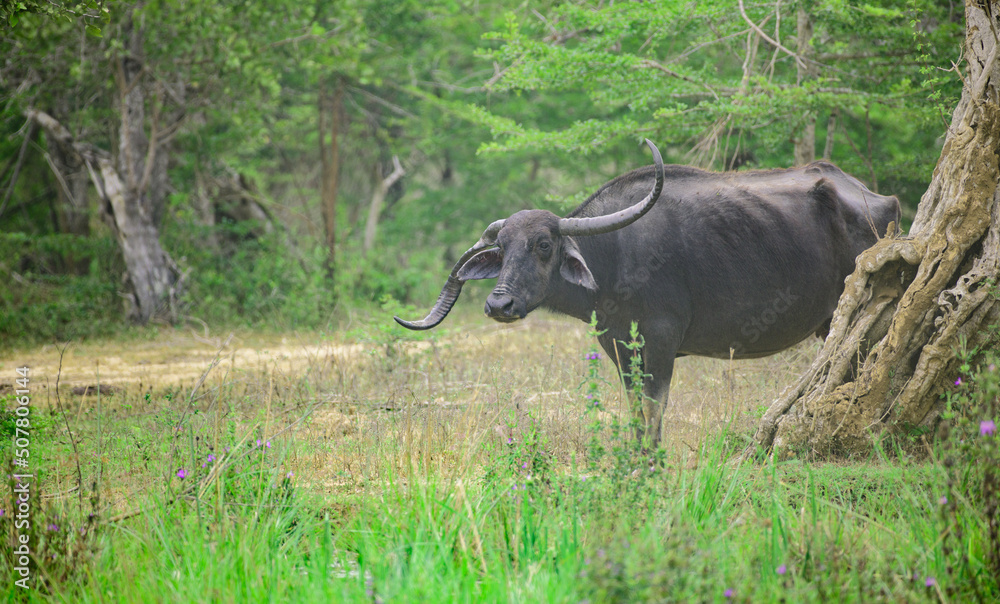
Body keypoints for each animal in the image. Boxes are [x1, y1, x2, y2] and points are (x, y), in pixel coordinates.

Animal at [396, 140, 900, 446]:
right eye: (500, 248)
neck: (615, 255)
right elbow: (636, 414)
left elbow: (653, 417)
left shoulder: (658, 346)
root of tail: (878, 199)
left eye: (543, 245)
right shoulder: (620, 348)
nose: (499, 305)